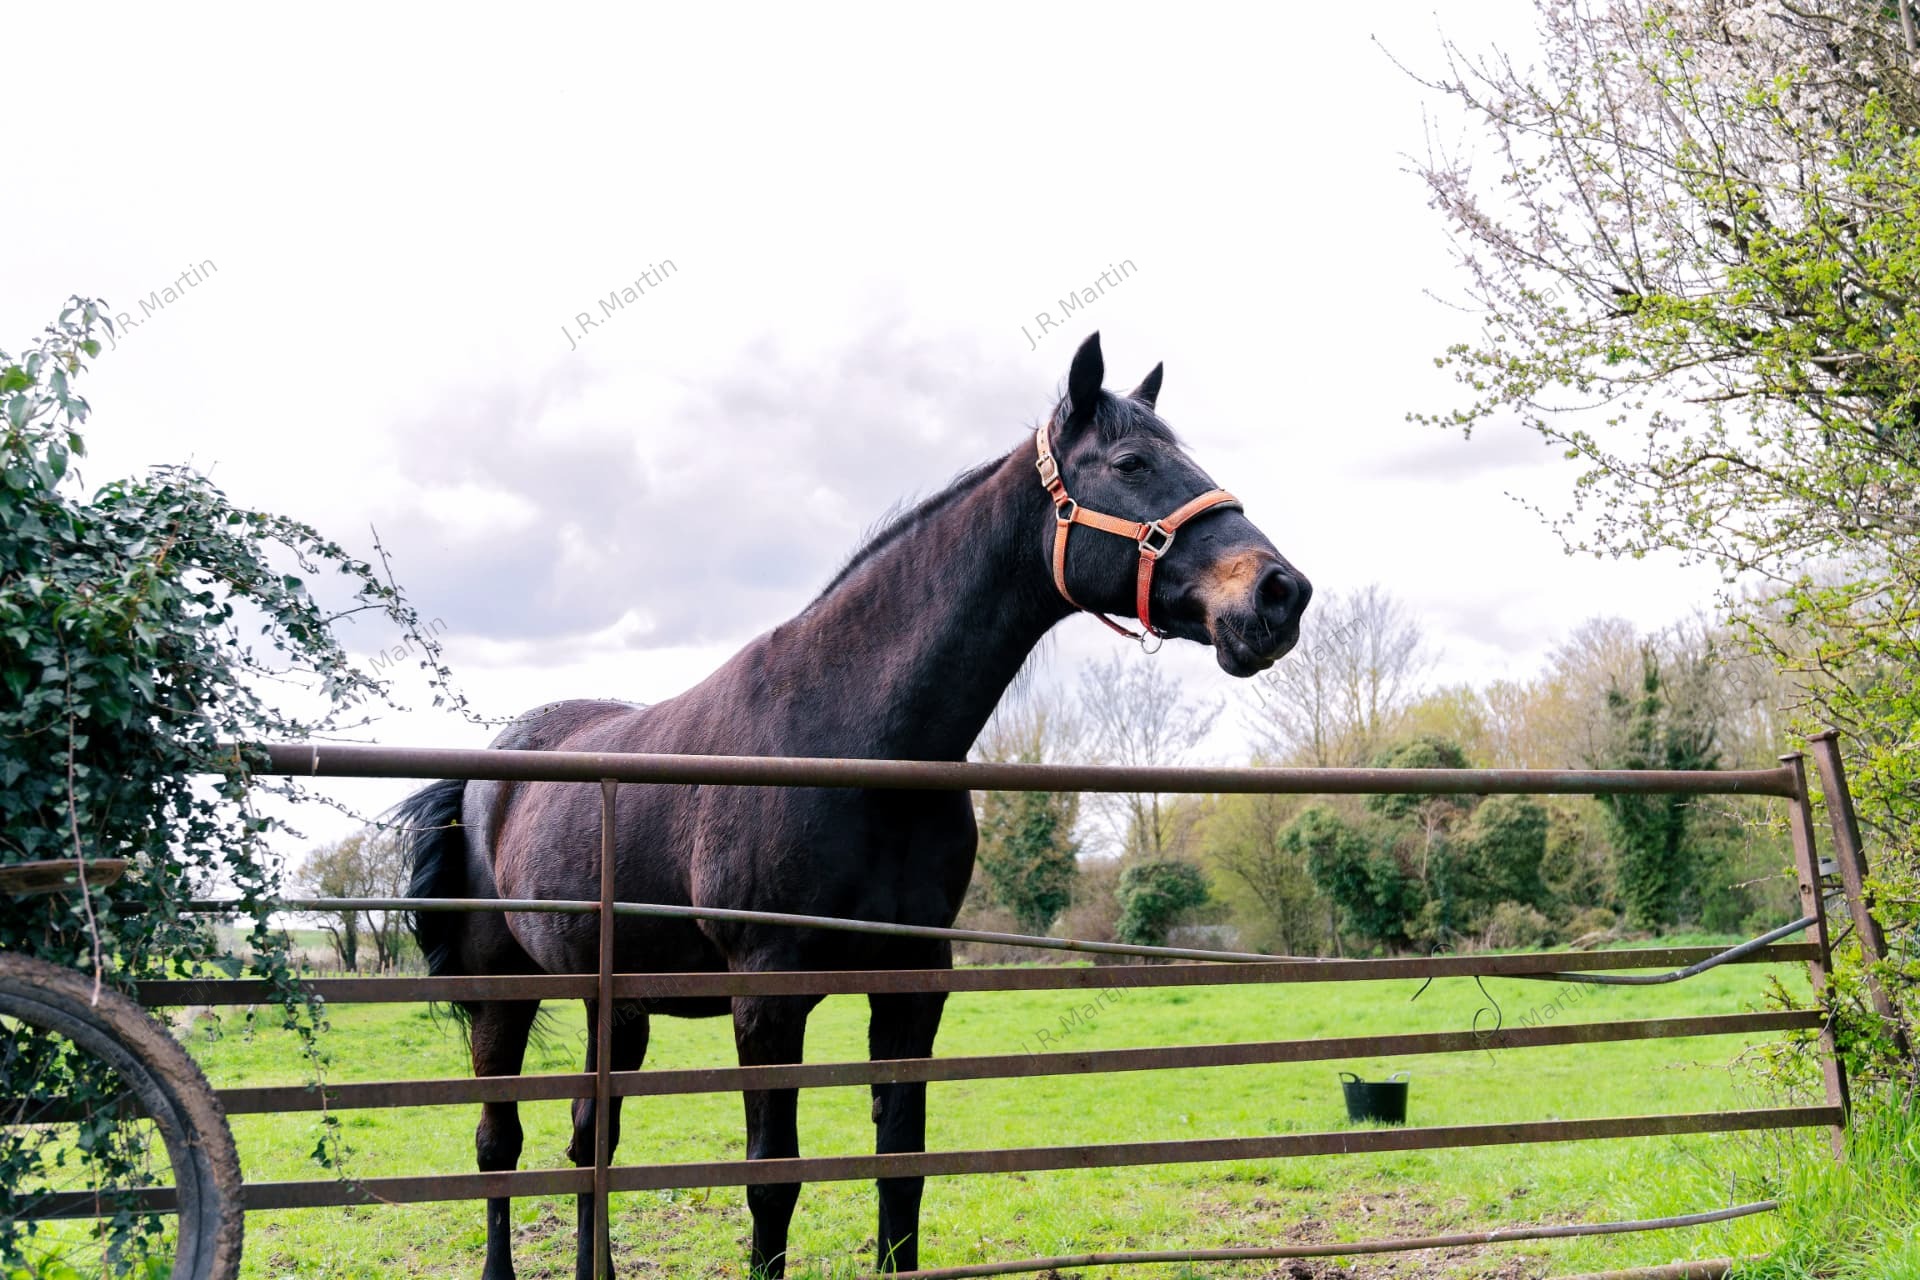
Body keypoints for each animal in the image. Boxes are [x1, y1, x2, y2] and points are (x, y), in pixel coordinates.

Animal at [396, 332, 1312, 1280]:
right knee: (498, 1144)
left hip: (612, 1000)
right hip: (502, 991)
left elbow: (900, 1170)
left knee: (590, 1140)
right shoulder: (767, 998)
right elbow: (773, 1182)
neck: (849, 740)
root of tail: (486, 771)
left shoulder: (911, 984)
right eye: (1132, 463)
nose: (1280, 594)